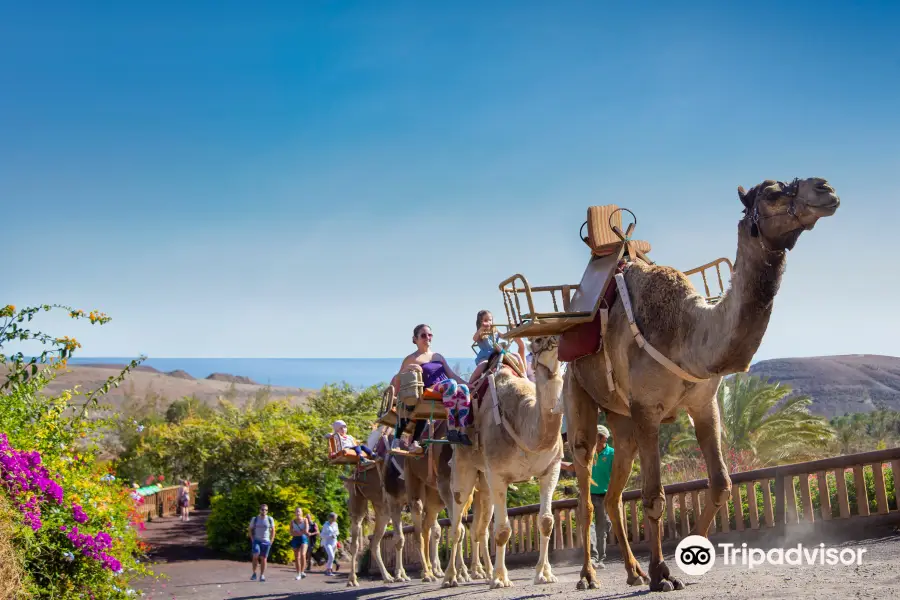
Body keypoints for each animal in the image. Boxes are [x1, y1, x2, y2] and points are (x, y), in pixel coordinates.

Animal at [442, 338, 564, 592]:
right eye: (536, 342)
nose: (551, 342)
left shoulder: (551, 468)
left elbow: (546, 521)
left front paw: (544, 574)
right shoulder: (498, 475)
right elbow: (503, 529)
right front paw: (500, 579)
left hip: (485, 483)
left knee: (479, 529)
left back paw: (484, 572)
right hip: (463, 468)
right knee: (457, 526)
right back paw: (451, 577)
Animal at [568, 177, 840, 592]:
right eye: (773, 193)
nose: (825, 188)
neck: (686, 333)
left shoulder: (704, 404)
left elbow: (721, 484)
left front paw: (686, 560)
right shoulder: (647, 409)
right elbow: (654, 496)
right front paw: (662, 574)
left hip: (621, 420)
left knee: (613, 494)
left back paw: (633, 571)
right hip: (577, 389)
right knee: (585, 485)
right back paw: (589, 575)